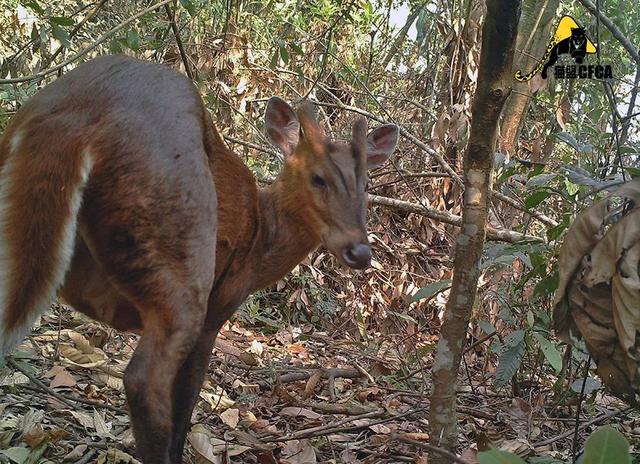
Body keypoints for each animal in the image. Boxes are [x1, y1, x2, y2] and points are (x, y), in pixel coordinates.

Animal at [0, 56, 398, 462]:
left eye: (366, 185)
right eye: (317, 178)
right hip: (181, 258)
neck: (262, 236)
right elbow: (186, 404)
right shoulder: (218, 308)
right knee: (143, 381)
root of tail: (77, 118)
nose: (359, 251)